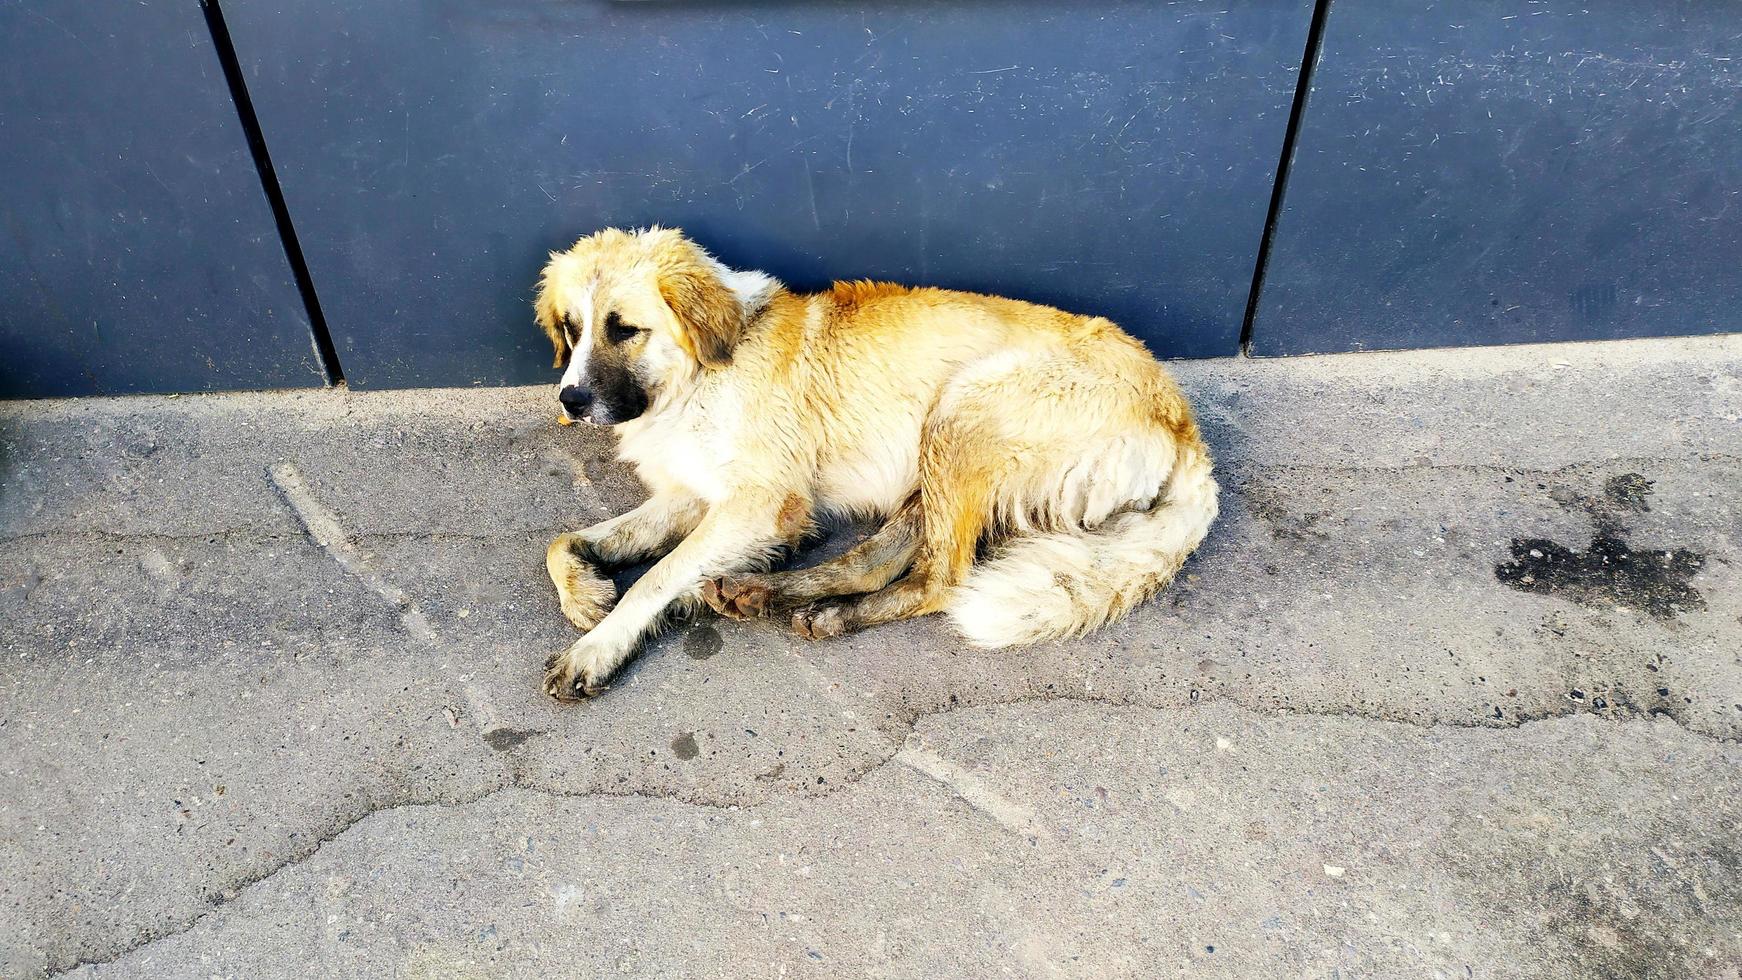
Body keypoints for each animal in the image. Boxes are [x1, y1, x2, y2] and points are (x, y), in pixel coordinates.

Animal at [536, 228, 1219, 706]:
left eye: (624, 329)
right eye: (572, 328)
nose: (570, 399)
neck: (703, 370)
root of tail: (1180, 418)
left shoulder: (760, 504)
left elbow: (657, 577)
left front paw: (597, 647)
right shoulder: (694, 495)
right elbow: (562, 541)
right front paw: (587, 594)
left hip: (961, 411)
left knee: (941, 580)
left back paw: (821, 610)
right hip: (936, 461)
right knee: (878, 559)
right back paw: (768, 593)